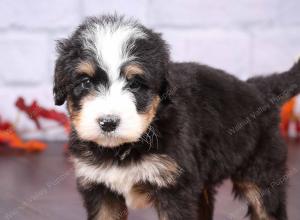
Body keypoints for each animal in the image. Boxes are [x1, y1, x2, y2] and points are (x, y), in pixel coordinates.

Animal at [52, 14, 298, 219]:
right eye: (85, 82)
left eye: (135, 84)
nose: (108, 122)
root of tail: (259, 89)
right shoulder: (99, 188)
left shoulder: (175, 188)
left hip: (262, 174)